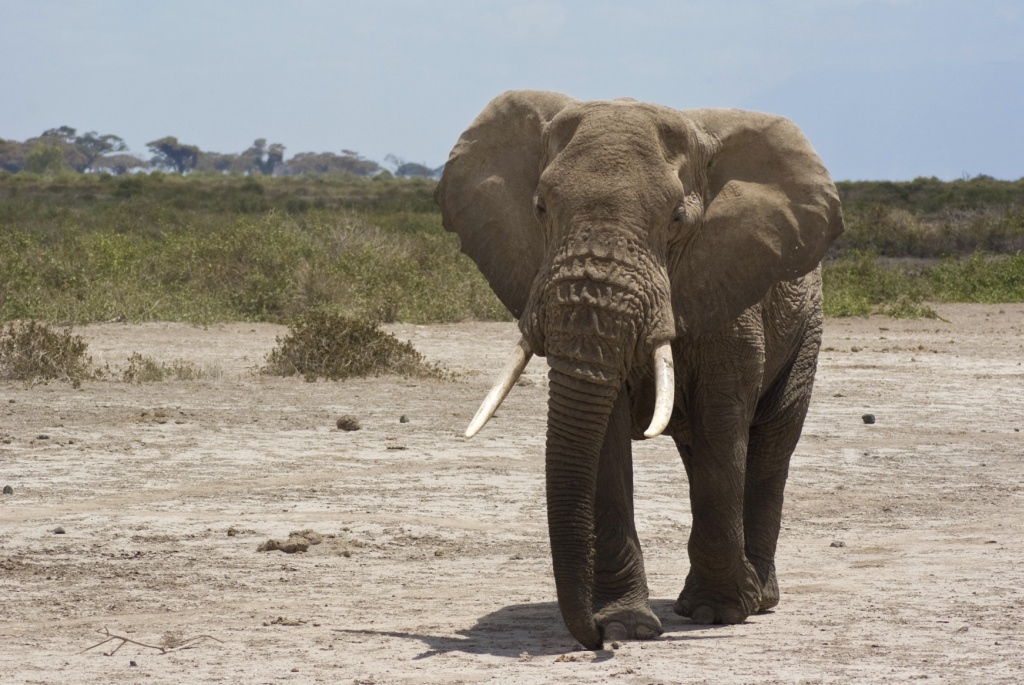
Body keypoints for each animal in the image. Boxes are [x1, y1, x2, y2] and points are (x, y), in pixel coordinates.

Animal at [434, 90, 844, 650]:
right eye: (540, 208)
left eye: (677, 220)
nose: (591, 639)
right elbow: (604, 439)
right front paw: (625, 626)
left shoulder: (731, 287)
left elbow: (723, 429)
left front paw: (717, 614)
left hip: (807, 328)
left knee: (768, 446)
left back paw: (759, 599)